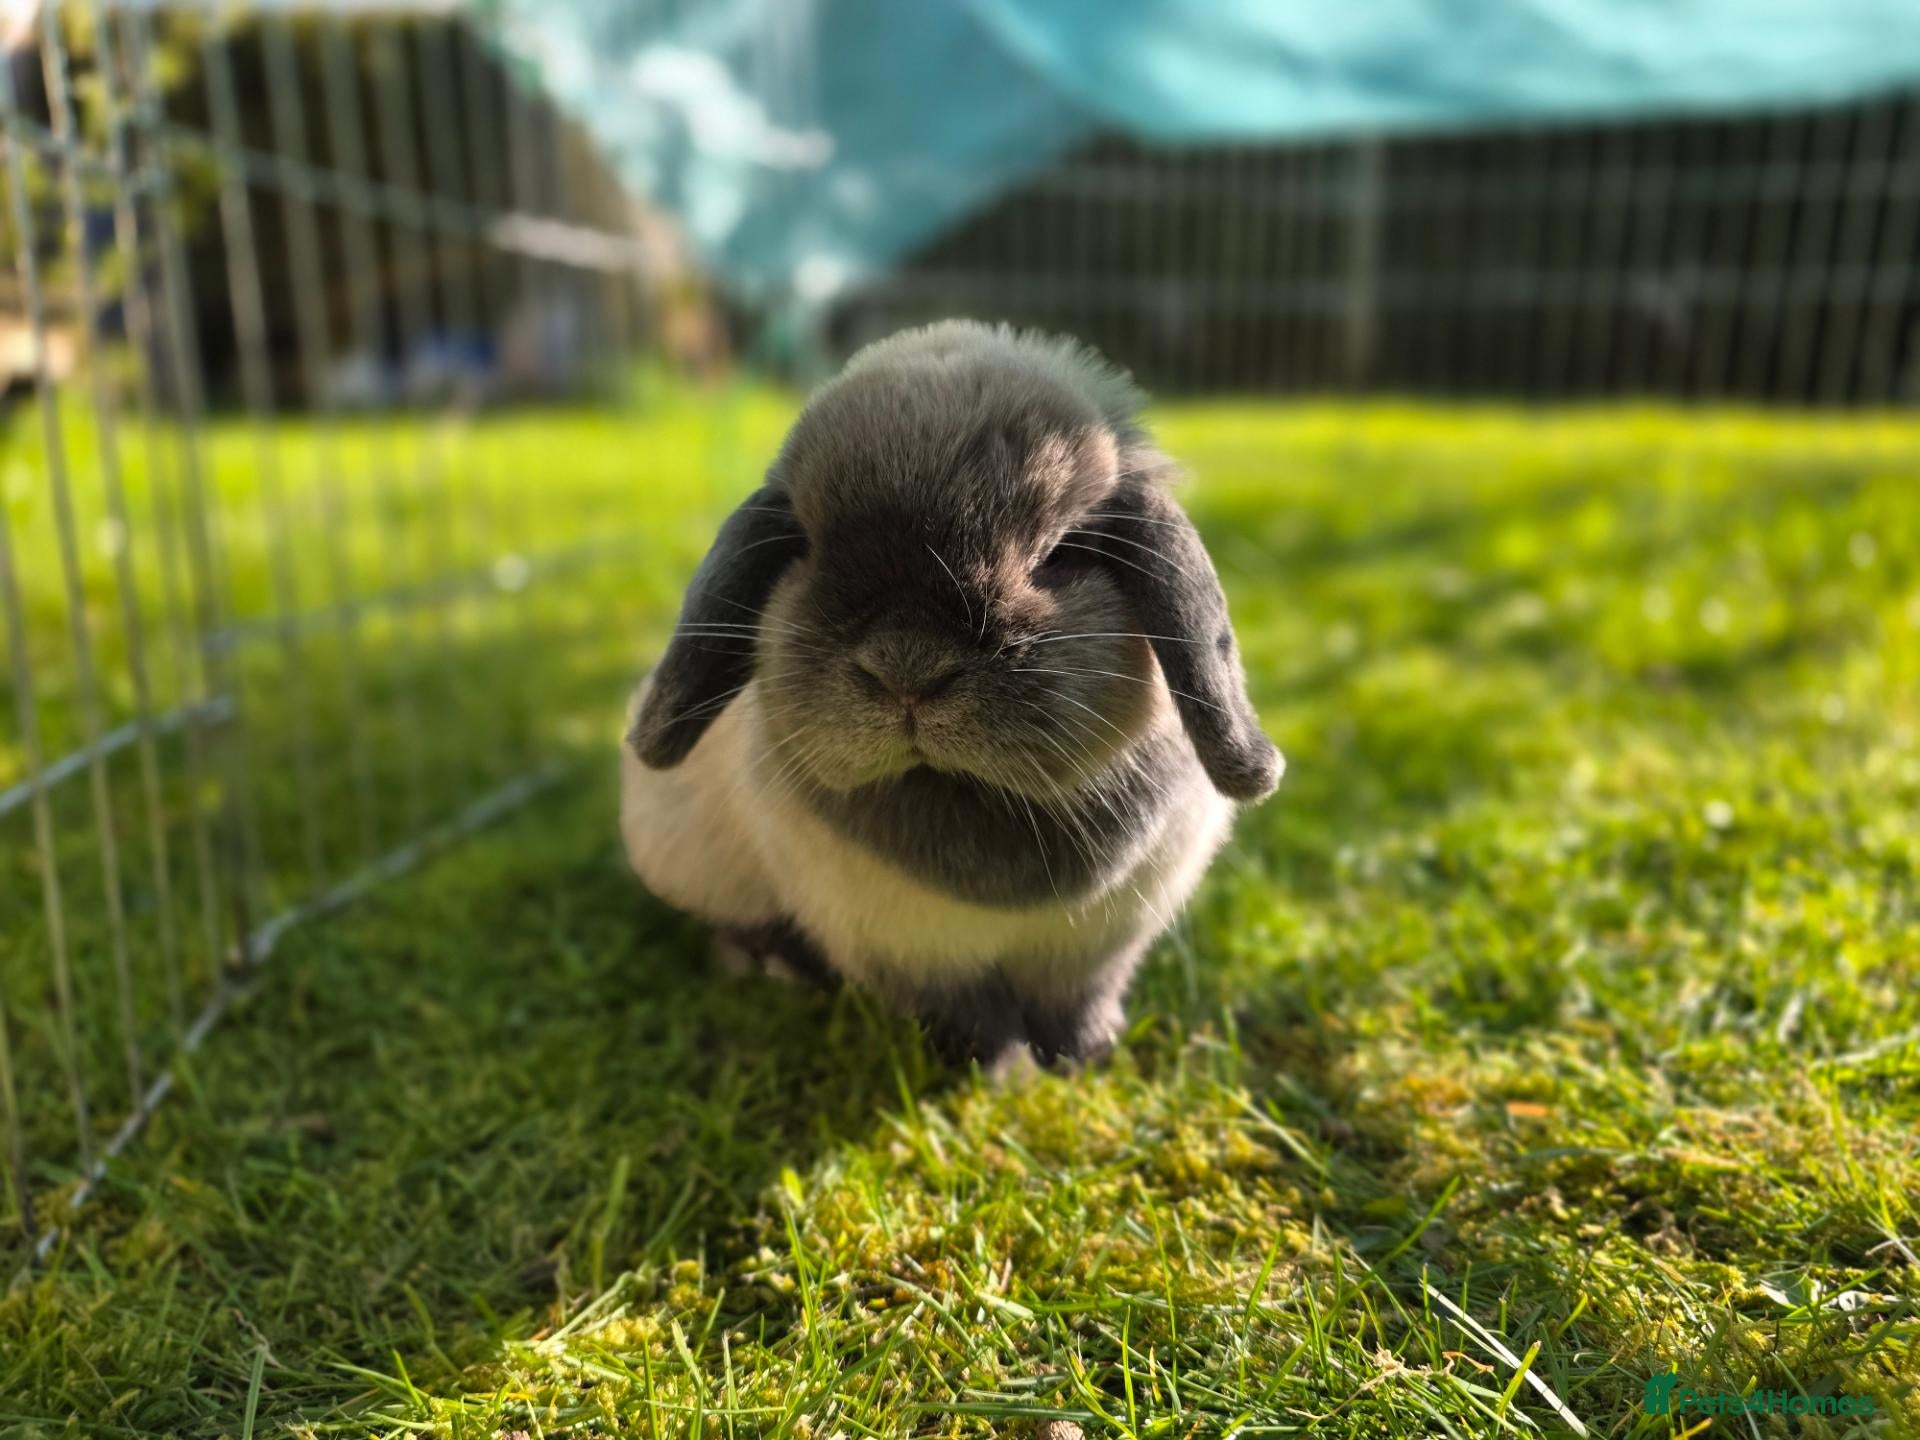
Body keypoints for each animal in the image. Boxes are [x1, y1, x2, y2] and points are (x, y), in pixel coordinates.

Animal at [621, 320, 1281, 1070]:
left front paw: (1088, 1055)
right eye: (808, 549)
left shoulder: (1096, 948)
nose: (907, 669)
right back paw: (770, 963)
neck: (979, 802)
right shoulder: (911, 957)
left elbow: (1081, 1003)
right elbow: (974, 1023)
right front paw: (1009, 1076)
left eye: (1060, 554)